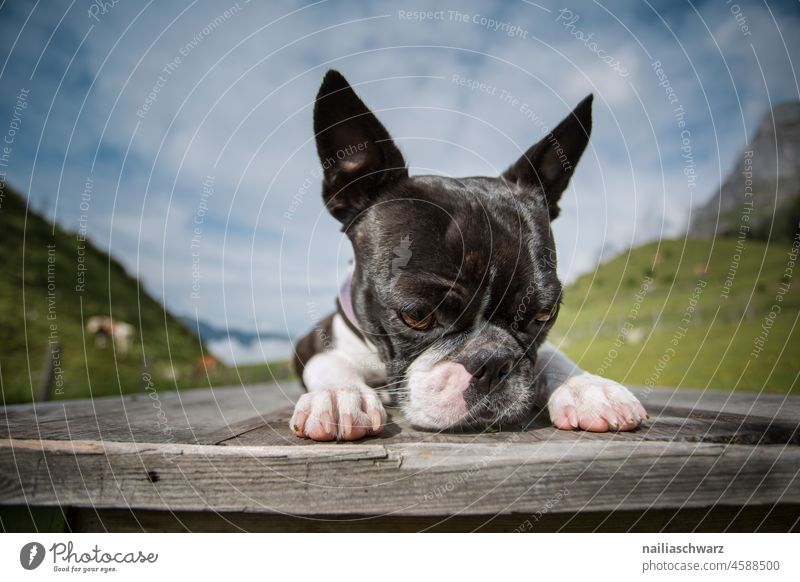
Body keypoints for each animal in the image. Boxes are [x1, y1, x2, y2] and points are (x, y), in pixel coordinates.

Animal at [290, 69, 648, 442]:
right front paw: (339, 395)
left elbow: (553, 353)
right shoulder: (311, 343)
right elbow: (328, 361)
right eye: (416, 316)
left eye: (544, 315)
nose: (492, 362)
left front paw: (587, 387)